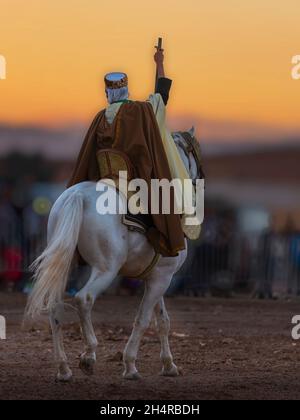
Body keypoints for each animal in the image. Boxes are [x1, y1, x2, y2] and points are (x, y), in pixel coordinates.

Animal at [26, 126, 202, 382]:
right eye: (194, 153)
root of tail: (78, 196)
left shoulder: (158, 277)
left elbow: (163, 321)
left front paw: (169, 365)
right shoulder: (161, 278)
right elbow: (143, 319)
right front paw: (130, 365)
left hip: (66, 266)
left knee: (55, 307)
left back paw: (64, 368)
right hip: (105, 270)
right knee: (84, 299)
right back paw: (88, 355)